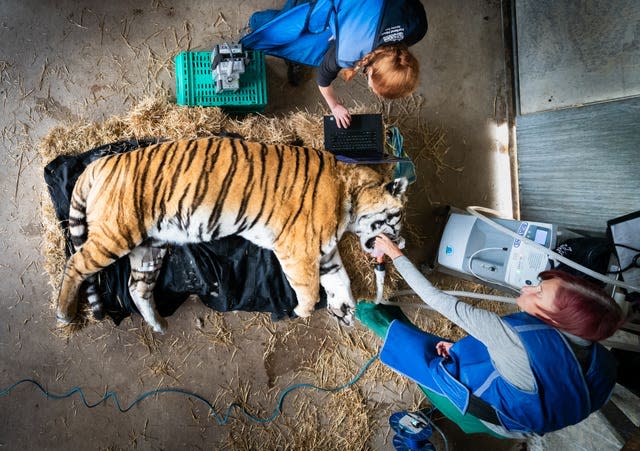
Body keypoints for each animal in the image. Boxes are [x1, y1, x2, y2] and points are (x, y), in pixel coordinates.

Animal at [53, 136, 404, 334]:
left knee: (136, 287)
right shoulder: (298, 250)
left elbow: (340, 281)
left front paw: (345, 310)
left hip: (150, 246)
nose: (400, 244)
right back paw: (64, 313)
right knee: (75, 264)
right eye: (399, 218)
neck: (350, 196)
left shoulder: (327, 252)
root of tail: (102, 162)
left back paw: (158, 324)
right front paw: (303, 312)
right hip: (116, 233)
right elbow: (308, 286)